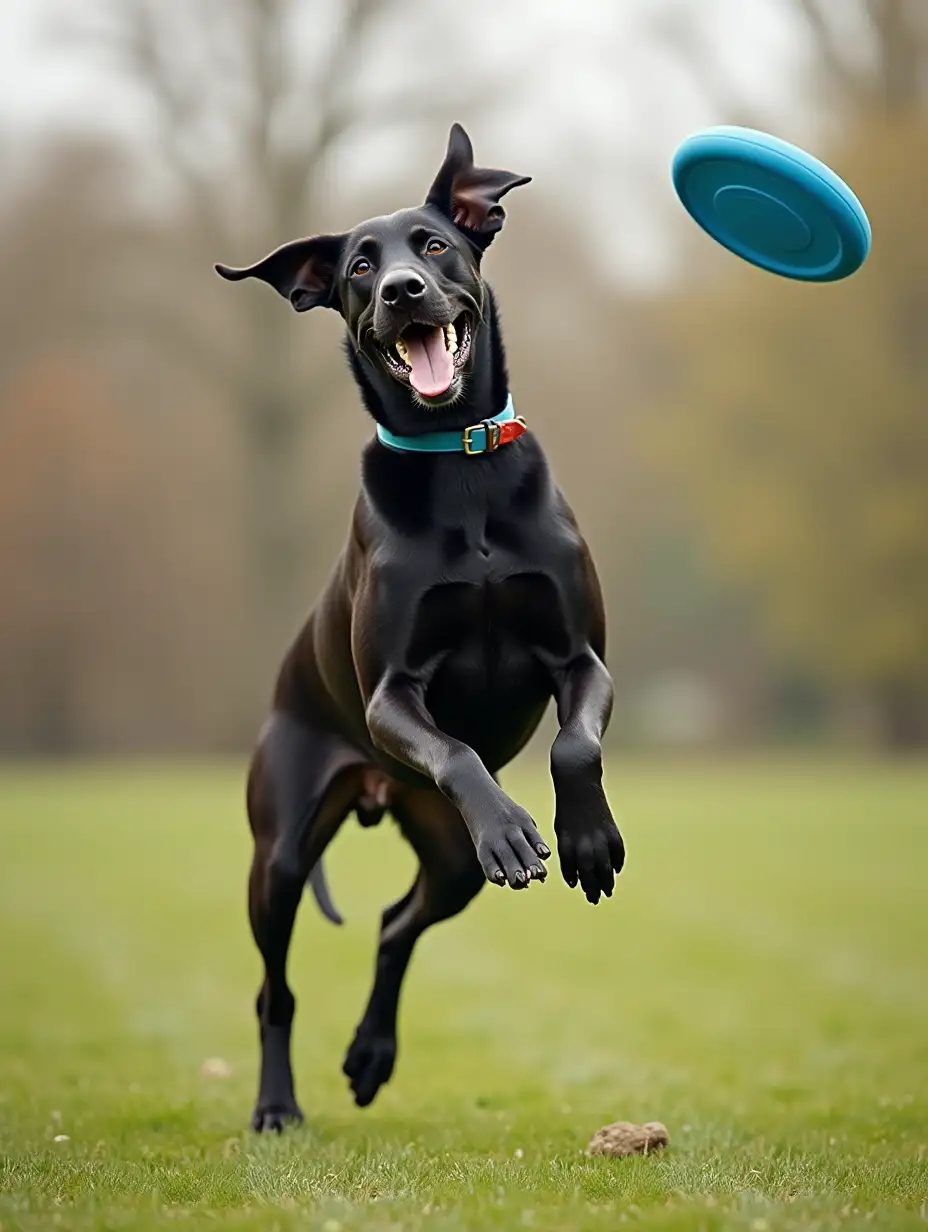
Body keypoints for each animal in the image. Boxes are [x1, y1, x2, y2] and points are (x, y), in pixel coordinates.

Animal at [216, 120, 623, 1128]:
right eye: (361, 266)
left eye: (435, 246)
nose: (402, 290)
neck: (461, 463)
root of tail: (378, 794)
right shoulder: (391, 698)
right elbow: (457, 748)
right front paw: (516, 826)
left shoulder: (583, 658)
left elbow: (575, 745)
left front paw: (588, 839)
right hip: (283, 852)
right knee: (275, 987)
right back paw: (278, 1106)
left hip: (447, 855)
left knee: (398, 921)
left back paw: (371, 1052)